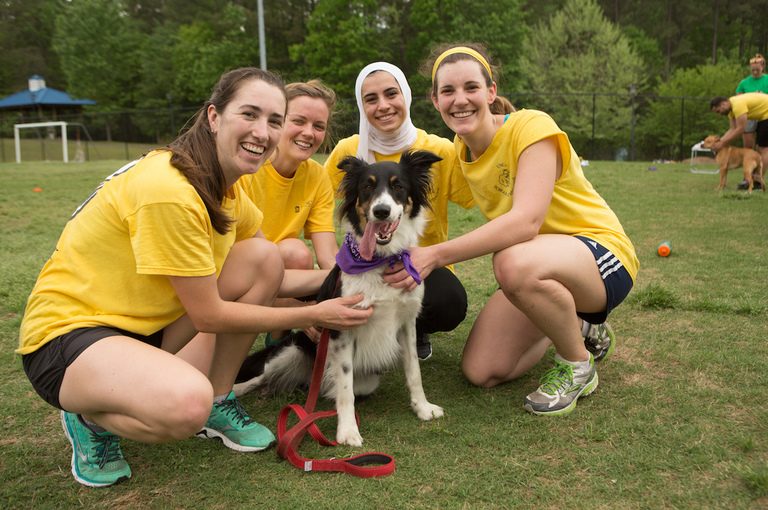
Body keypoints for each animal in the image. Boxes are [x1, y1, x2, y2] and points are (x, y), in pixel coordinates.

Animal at [237, 149, 448, 444]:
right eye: (367, 187)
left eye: (398, 186)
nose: (381, 211)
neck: (380, 261)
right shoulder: (343, 329)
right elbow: (346, 387)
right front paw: (347, 430)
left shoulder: (407, 323)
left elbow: (413, 370)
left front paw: (422, 407)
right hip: (291, 350)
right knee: (256, 377)